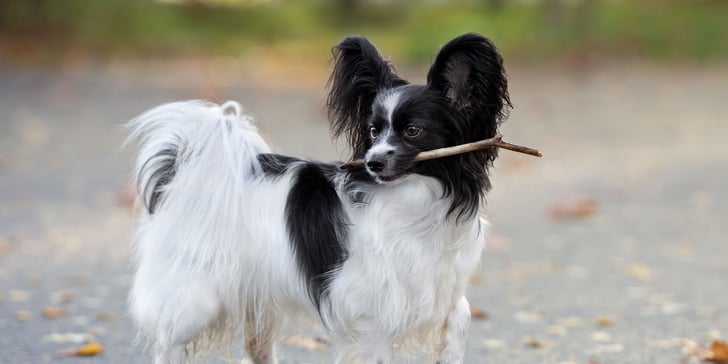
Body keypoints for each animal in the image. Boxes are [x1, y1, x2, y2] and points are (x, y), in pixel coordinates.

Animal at [126, 32, 512, 362]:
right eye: (373, 131)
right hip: (196, 300)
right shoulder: (370, 314)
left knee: (257, 347)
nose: (372, 162)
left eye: (413, 131)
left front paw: (451, 354)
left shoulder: (436, 287)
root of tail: (184, 173)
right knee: (168, 343)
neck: (417, 200)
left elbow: (460, 315)